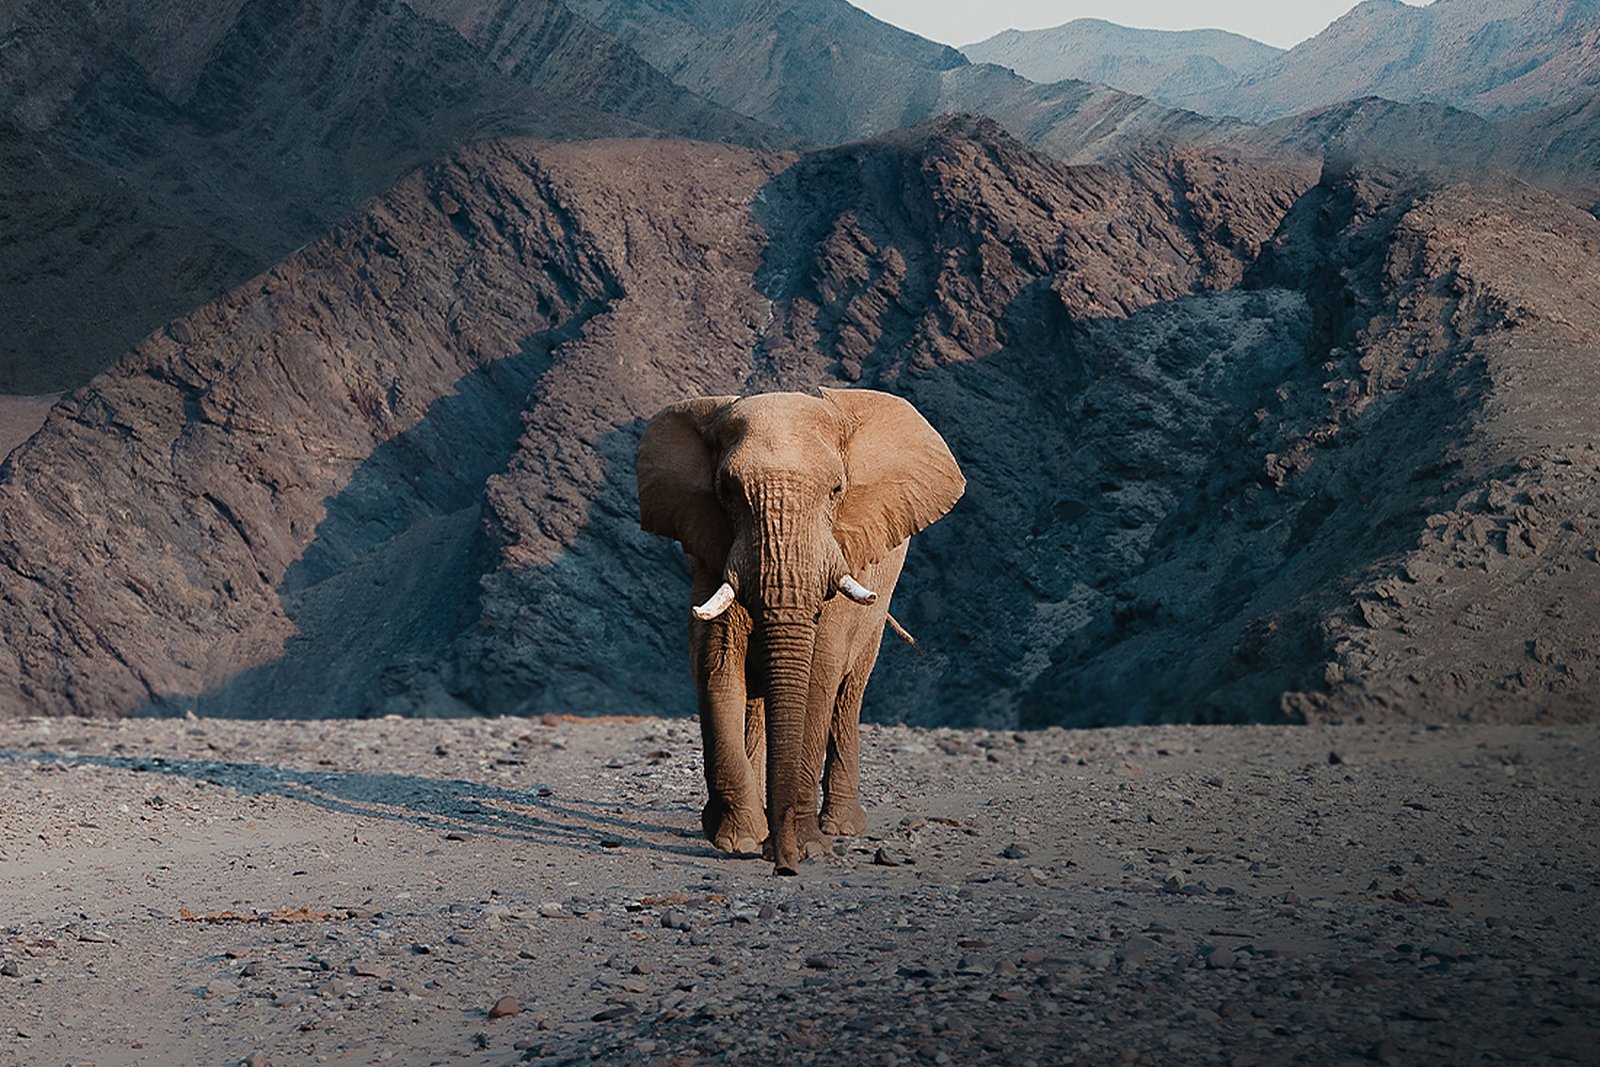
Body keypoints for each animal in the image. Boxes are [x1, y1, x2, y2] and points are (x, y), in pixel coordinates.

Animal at [636, 387, 964, 874]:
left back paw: (842, 827)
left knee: (849, 691)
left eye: (836, 490)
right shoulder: (711, 550)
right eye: (725, 491)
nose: (783, 865)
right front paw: (739, 840)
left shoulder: (845, 550)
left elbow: (818, 672)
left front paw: (807, 847)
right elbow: (717, 665)